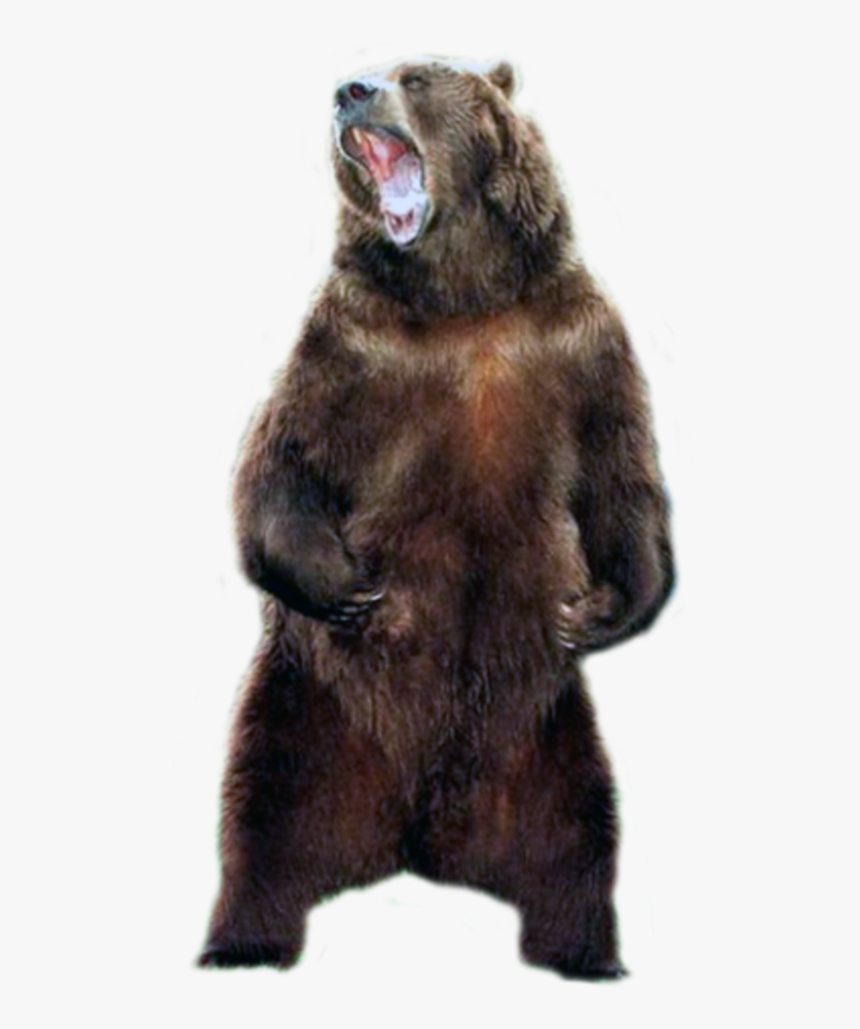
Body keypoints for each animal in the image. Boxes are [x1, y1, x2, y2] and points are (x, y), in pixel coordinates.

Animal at [198, 57, 674, 980]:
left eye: (415, 75)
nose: (349, 89)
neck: (466, 293)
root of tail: (416, 839)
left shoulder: (580, 339)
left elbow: (620, 475)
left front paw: (603, 608)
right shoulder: (348, 345)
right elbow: (281, 460)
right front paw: (346, 584)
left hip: (544, 741)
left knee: (579, 838)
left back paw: (584, 952)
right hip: (306, 708)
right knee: (261, 814)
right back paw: (242, 942)